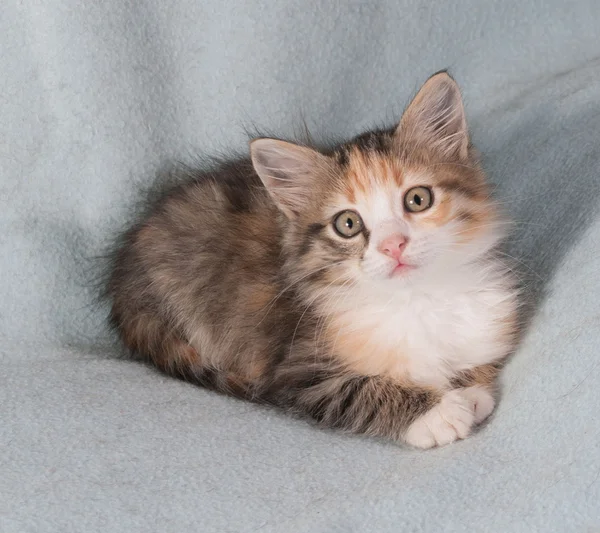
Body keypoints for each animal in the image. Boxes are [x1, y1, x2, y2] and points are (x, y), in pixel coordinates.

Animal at [108, 72, 520, 446]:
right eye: (348, 224)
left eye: (418, 199)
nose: (393, 245)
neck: (416, 298)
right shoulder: (298, 371)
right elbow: (358, 391)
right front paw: (438, 413)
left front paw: (470, 391)